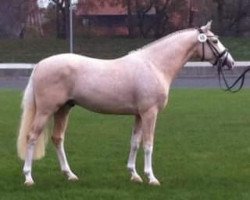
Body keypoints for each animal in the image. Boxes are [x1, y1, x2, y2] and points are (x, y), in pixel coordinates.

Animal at [17, 21, 234, 186]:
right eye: (215, 40)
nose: (230, 62)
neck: (154, 65)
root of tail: (40, 65)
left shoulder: (139, 114)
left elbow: (135, 143)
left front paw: (134, 175)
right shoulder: (150, 113)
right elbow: (148, 144)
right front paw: (151, 178)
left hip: (63, 109)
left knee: (57, 138)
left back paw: (69, 174)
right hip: (45, 111)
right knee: (32, 137)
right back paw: (28, 178)